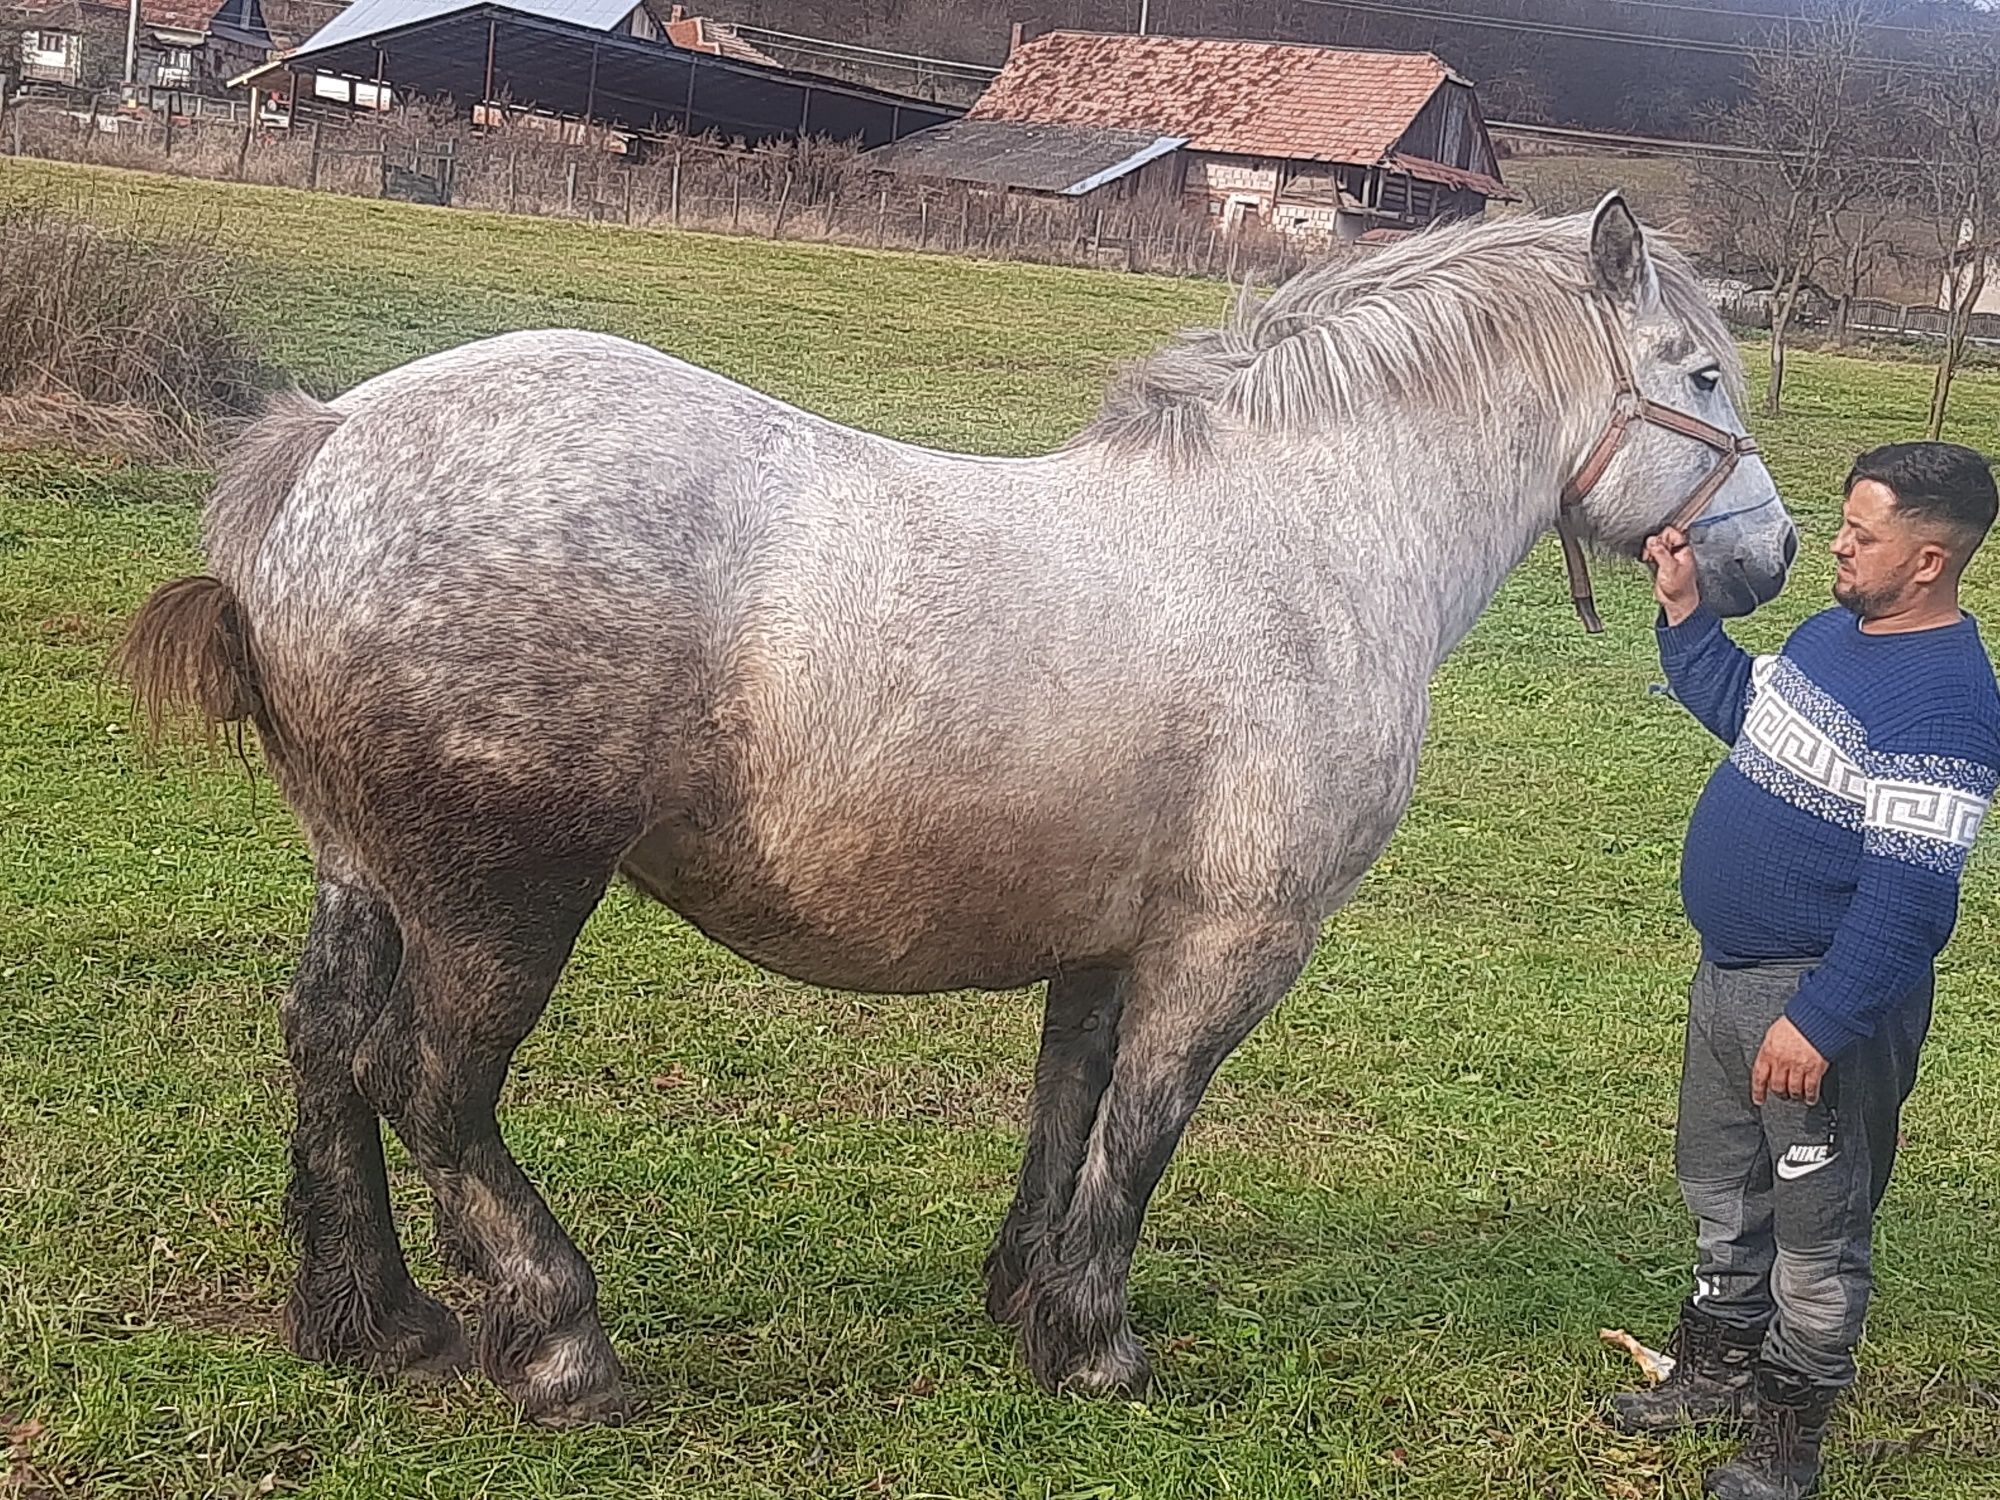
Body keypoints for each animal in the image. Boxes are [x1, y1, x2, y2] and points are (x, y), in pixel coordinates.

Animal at [117, 194, 1792, 1424]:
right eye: (1700, 374)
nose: (1771, 559)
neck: (1309, 542)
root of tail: (327, 444)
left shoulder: (1106, 939)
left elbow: (1068, 1110)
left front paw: (1022, 1301)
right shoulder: (1234, 946)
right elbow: (1147, 1129)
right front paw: (1095, 1342)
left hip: (365, 875)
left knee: (324, 1050)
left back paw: (374, 1320)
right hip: (503, 902)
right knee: (428, 1087)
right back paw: (561, 1342)